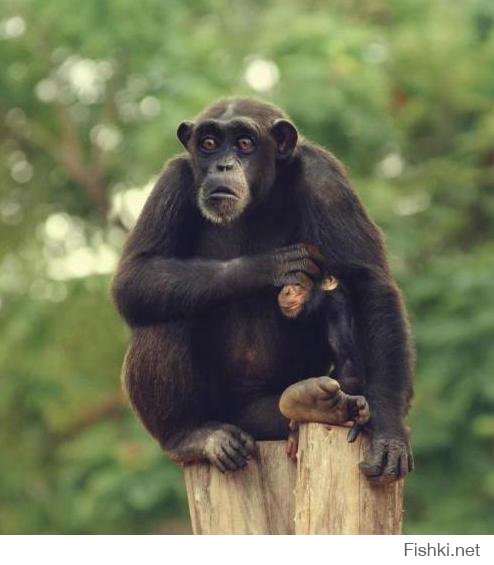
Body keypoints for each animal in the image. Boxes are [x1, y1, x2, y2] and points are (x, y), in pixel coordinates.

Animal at [111, 96, 412, 480]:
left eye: (244, 143)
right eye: (208, 143)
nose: (222, 164)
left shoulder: (326, 178)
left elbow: (368, 282)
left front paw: (389, 434)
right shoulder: (171, 181)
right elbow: (135, 274)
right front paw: (269, 267)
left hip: (262, 418)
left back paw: (315, 403)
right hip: (225, 414)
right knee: (163, 315)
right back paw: (190, 436)